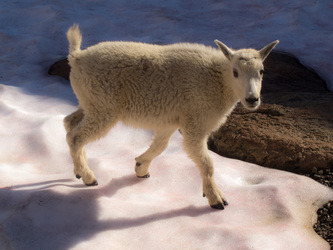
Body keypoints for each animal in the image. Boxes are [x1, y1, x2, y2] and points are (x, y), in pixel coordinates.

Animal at [65, 24, 278, 209]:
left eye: (261, 71)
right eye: (235, 72)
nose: (252, 99)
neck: (219, 80)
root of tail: (76, 57)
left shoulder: (170, 120)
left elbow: (161, 145)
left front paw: (140, 167)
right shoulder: (196, 122)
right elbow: (207, 163)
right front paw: (216, 199)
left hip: (89, 103)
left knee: (69, 123)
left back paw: (78, 170)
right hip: (103, 108)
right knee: (76, 137)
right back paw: (89, 177)